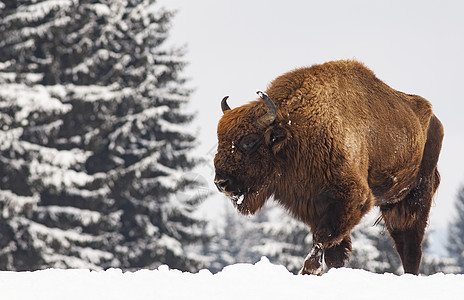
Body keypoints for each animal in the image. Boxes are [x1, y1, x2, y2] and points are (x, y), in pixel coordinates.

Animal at [214, 59, 442, 276]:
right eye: (220, 139)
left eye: (249, 141)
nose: (221, 182)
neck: (295, 130)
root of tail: (434, 120)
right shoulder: (316, 203)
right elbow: (335, 251)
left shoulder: (350, 198)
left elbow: (323, 238)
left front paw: (309, 271)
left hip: (416, 195)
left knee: (410, 246)